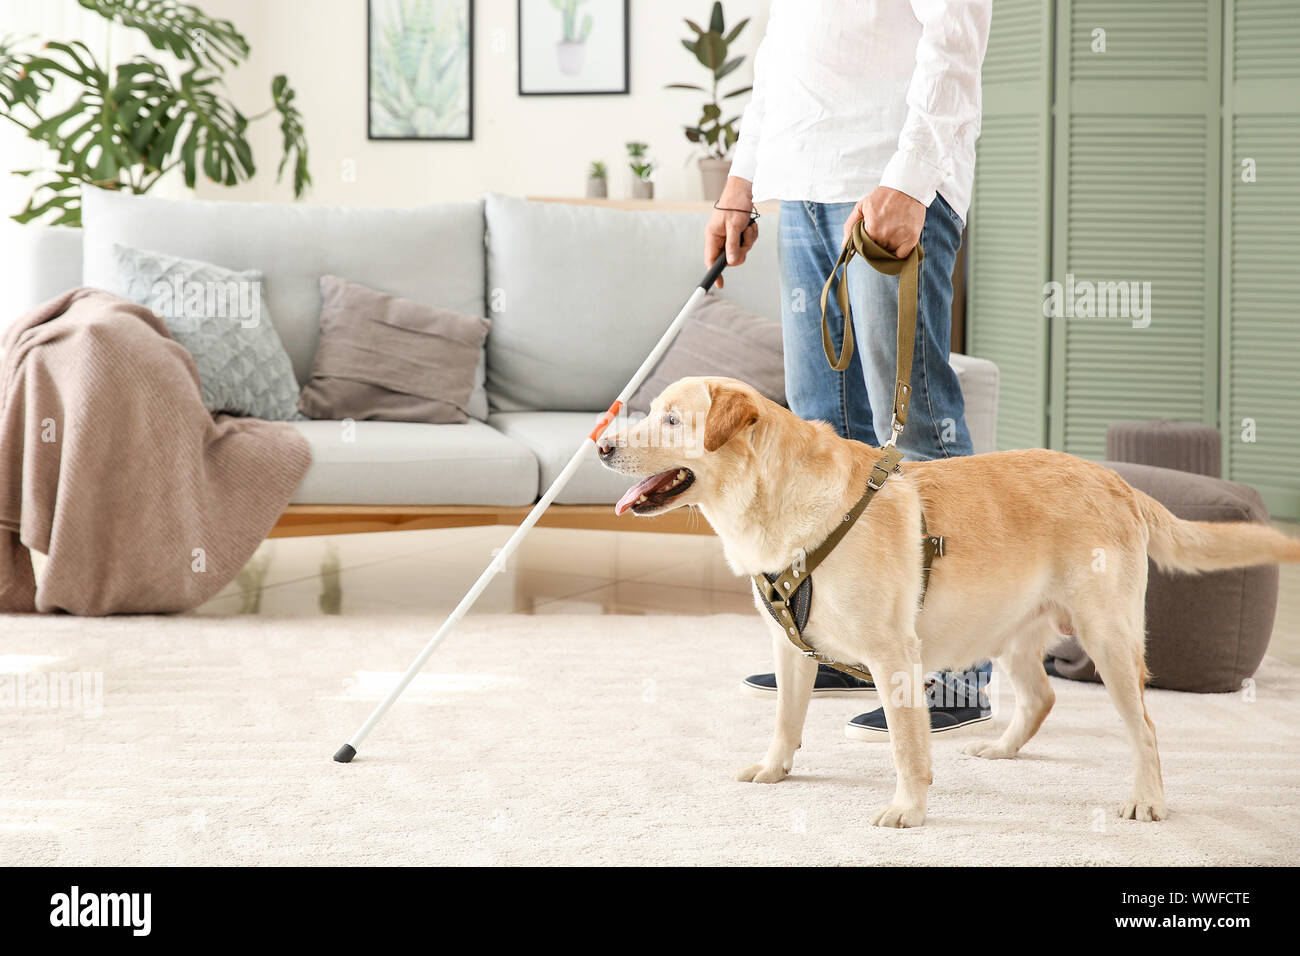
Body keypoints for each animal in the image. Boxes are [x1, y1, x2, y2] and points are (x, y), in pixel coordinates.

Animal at [595, 377, 1300, 827]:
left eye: (672, 421)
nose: (601, 445)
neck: (778, 506)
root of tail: (1116, 479)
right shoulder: (789, 648)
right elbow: (785, 722)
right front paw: (775, 770)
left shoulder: (893, 656)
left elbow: (908, 747)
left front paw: (909, 809)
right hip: (1010, 632)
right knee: (1041, 697)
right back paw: (1004, 749)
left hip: (1109, 641)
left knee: (1146, 729)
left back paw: (1148, 800)